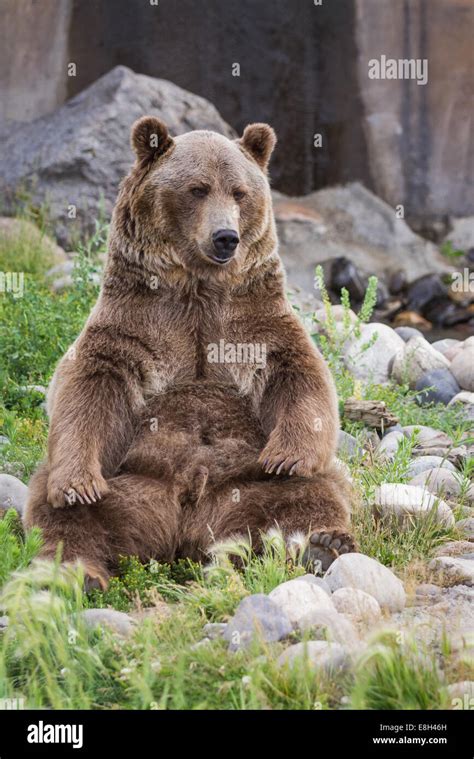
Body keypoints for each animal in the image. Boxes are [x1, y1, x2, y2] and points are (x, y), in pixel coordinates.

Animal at [24, 119, 354, 592]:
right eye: (197, 189)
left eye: (239, 191)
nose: (226, 237)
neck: (198, 289)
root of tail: (184, 529)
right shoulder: (134, 324)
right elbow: (88, 387)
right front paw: (77, 485)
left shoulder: (253, 321)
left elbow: (299, 374)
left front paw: (287, 455)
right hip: (128, 483)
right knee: (56, 514)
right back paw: (75, 573)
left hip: (247, 484)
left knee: (313, 493)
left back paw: (323, 543)